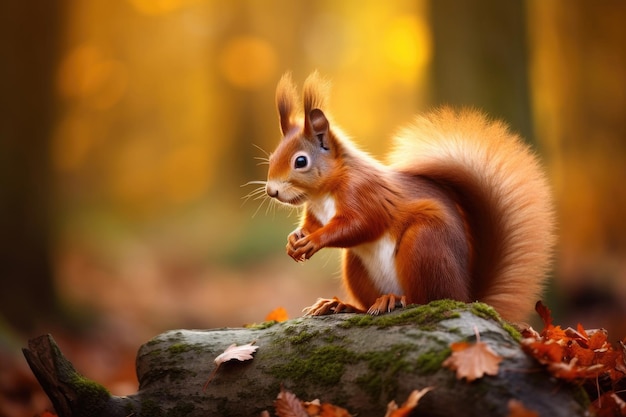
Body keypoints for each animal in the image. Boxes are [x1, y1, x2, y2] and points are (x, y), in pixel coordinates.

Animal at [262, 72, 552, 322]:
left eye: (300, 161)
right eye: (273, 156)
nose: (271, 190)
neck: (322, 195)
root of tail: (466, 296)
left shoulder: (365, 194)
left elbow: (360, 225)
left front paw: (314, 241)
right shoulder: (315, 212)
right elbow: (311, 225)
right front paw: (294, 239)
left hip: (424, 245)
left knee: (426, 299)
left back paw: (394, 300)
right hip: (356, 266)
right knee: (368, 304)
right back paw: (341, 305)